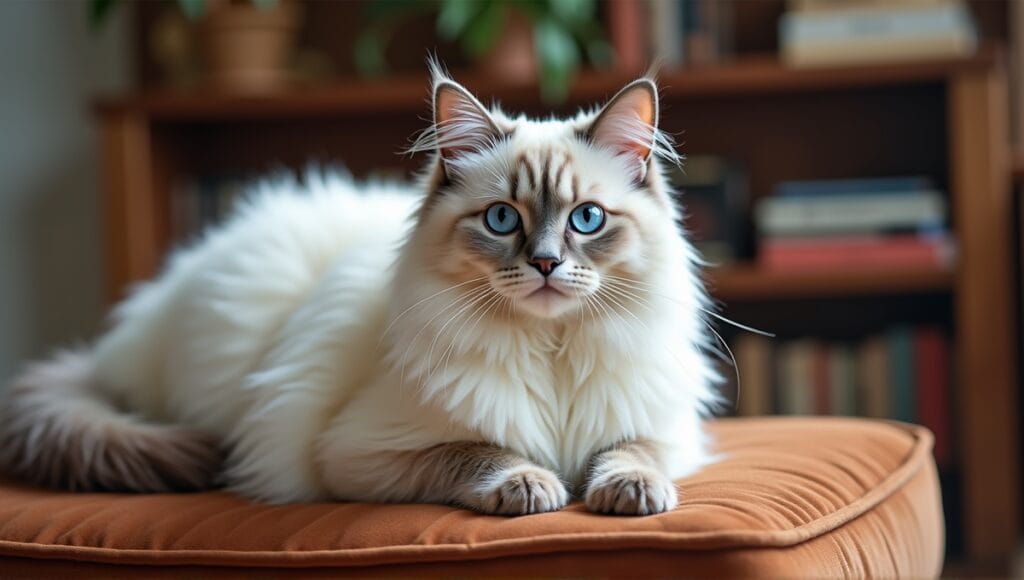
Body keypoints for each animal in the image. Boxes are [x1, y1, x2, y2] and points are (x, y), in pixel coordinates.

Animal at [0, 64, 720, 518]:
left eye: (586, 220)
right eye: (502, 220)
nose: (544, 263)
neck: (550, 350)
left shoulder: (664, 428)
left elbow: (629, 451)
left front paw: (629, 492)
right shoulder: (354, 454)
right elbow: (478, 450)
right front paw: (530, 484)